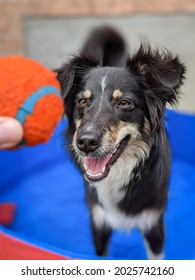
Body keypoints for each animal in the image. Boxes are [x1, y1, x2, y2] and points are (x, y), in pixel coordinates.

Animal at [56, 27, 186, 260]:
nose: (85, 143)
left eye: (125, 103)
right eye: (82, 101)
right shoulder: (99, 223)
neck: (120, 174)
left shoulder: (154, 225)